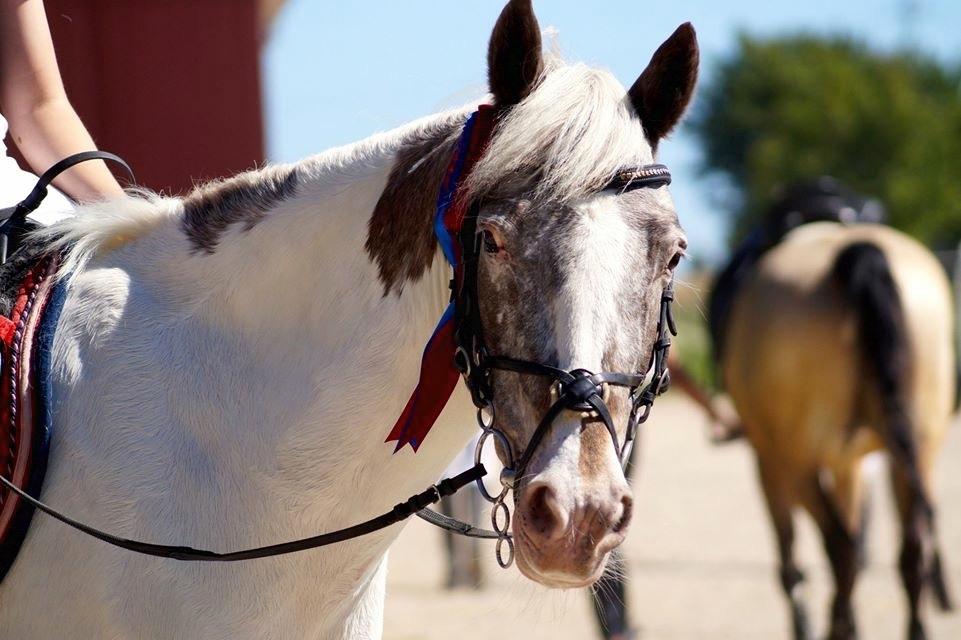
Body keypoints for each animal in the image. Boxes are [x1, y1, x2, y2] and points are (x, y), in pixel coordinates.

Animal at [717, 211, 955, 640]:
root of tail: (858, 250)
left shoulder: (768, 462)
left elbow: (792, 553)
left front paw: (807, 620)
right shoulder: (850, 463)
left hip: (796, 462)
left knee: (841, 549)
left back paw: (834, 625)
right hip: (920, 450)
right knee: (911, 551)